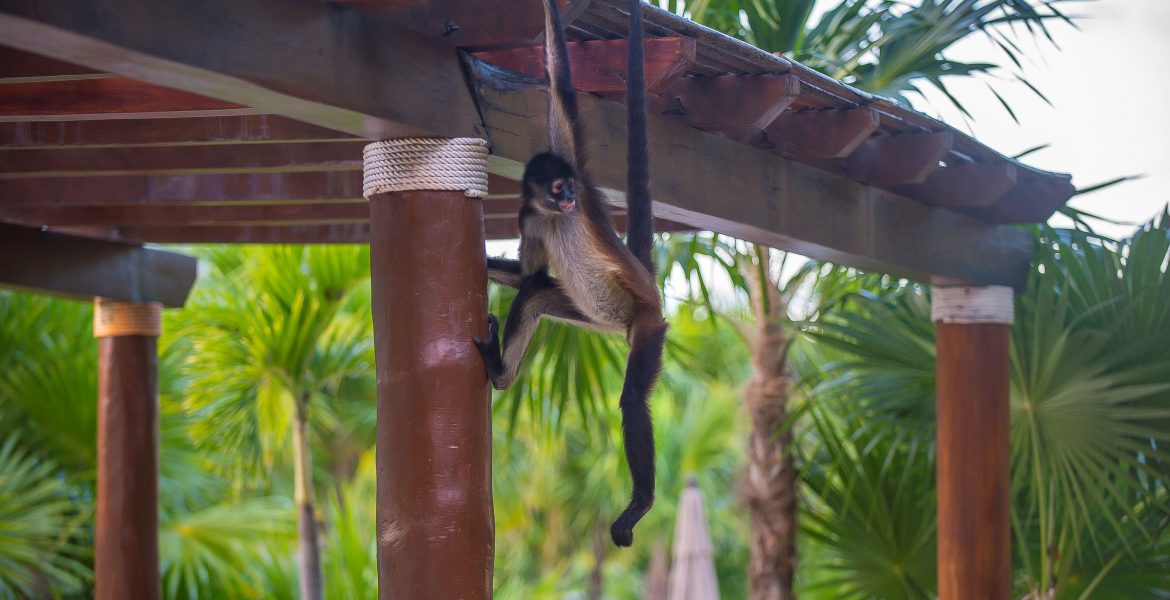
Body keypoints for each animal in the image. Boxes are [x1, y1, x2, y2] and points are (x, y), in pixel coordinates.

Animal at [470, 0, 664, 547]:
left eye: (571, 185)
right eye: (556, 188)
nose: (572, 196)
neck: (556, 217)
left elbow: (563, 95)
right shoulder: (531, 218)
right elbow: (527, 275)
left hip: (649, 324)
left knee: (632, 397)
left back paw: (641, 504)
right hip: (595, 316)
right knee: (536, 293)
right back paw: (500, 372)